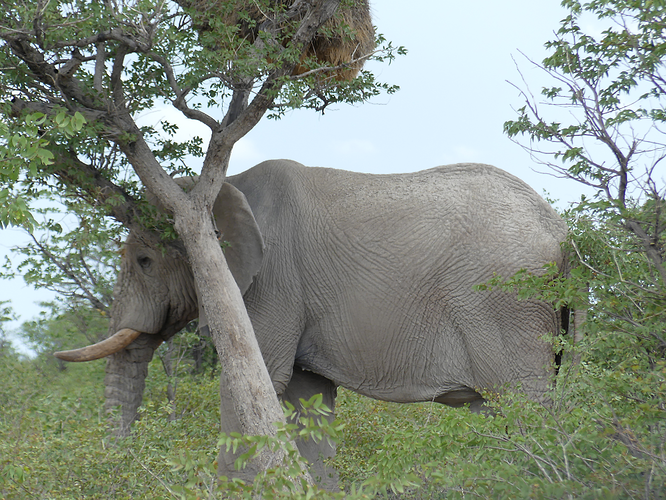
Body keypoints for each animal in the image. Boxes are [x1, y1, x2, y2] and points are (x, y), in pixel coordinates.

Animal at [57, 159, 568, 484]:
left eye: (144, 261)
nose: (117, 465)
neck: (219, 188)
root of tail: (560, 230)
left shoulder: (272, 282)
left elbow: (249, 387)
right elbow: (307, 401)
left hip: (508, 304)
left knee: (525, 409)